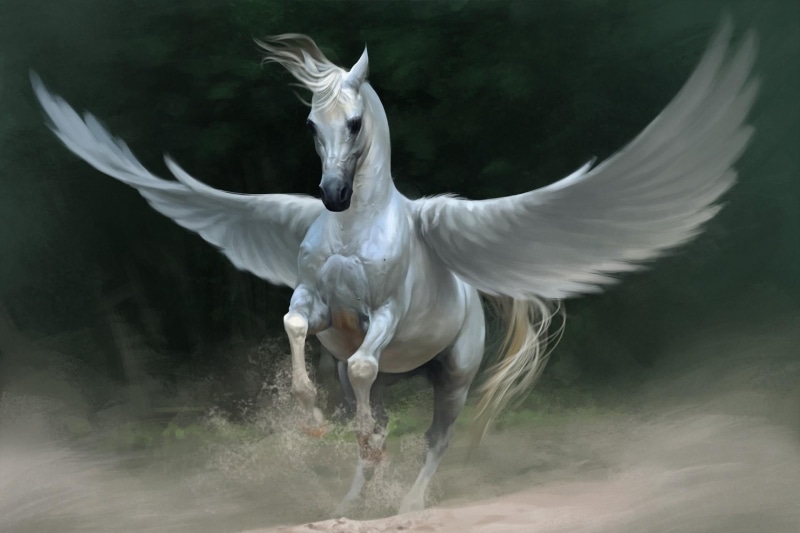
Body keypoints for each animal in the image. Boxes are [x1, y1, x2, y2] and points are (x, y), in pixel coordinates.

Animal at [31, 19, 757, 515]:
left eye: (354, 123)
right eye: (311, 124)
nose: (330, 195)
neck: (357, 228)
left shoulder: (382, 315)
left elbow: (359, 368)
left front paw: (342, 432)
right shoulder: (318, 302)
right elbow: (298, 330)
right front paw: (311, 416)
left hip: (453, 376)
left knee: (434, 437)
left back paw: (408, 506)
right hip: (407, 372)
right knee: (377, 414)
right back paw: (348, 503)